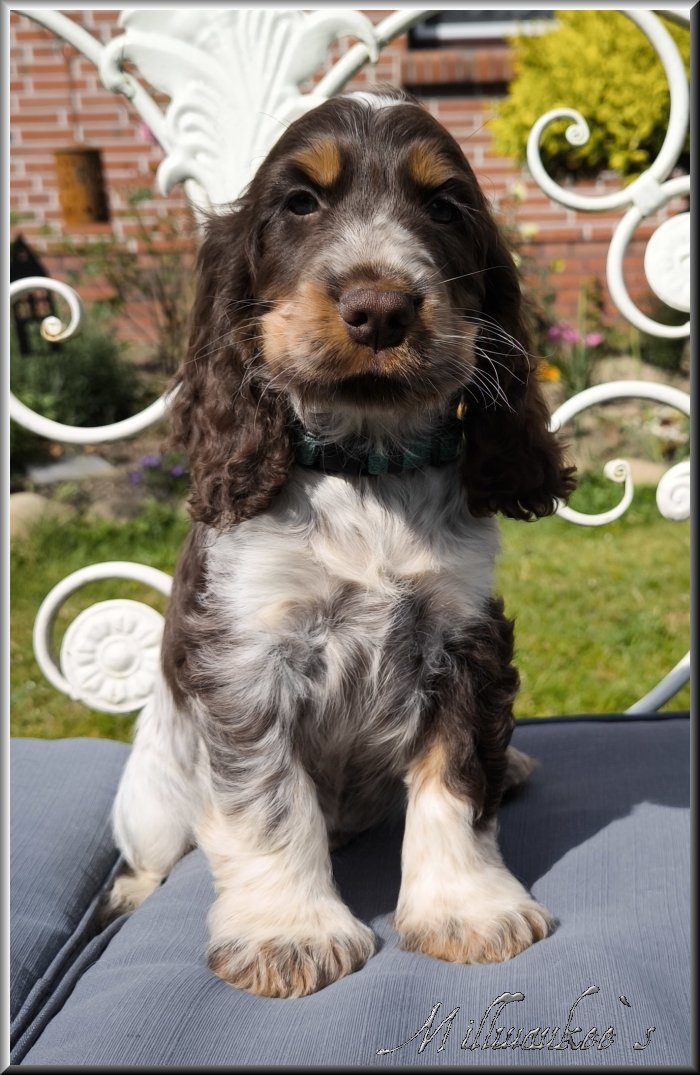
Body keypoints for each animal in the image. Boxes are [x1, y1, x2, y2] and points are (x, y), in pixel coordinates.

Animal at [106, 87, 575, 998]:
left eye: (444, 206)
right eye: (299, 203)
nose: (381, 307)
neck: (367, 467)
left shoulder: (463, 637)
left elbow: (455, 779)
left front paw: (468, 910)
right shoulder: (248, 657)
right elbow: (269, 801)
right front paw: (289, 933)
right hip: (147, 800)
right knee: (150, 850)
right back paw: (133, 891)